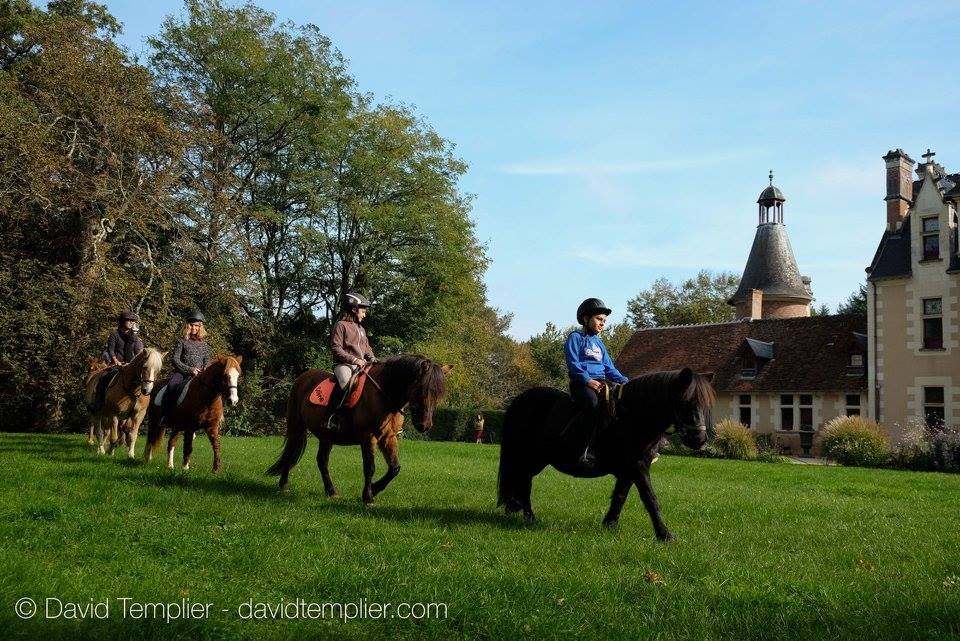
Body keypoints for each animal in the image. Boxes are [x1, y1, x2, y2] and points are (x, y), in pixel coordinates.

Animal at [267, 355, 451, 504]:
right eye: (421, 390)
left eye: (438, 394)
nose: (424, 426)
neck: (383, 396)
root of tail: (302, 378)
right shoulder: (368, 437)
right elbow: (370, 467)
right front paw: (368, 497)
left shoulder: (388, 437)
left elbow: (394, 468)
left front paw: (374, 489)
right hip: (297, 426)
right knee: (290, 452)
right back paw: (284, 485)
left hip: (326, 437)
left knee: (322, 461)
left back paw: (331, 491)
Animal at [497, 368, 714, 541]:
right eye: (685, 401)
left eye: (705, 404)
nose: (699, 438)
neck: (632, 418)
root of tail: (520, 400)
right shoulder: (638, 467)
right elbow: (650, 498)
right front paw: (664, 535)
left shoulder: (629, 470)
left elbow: (620, 496)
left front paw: (610, 524)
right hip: (529, 458)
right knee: (524, 483)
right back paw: (529, 517)